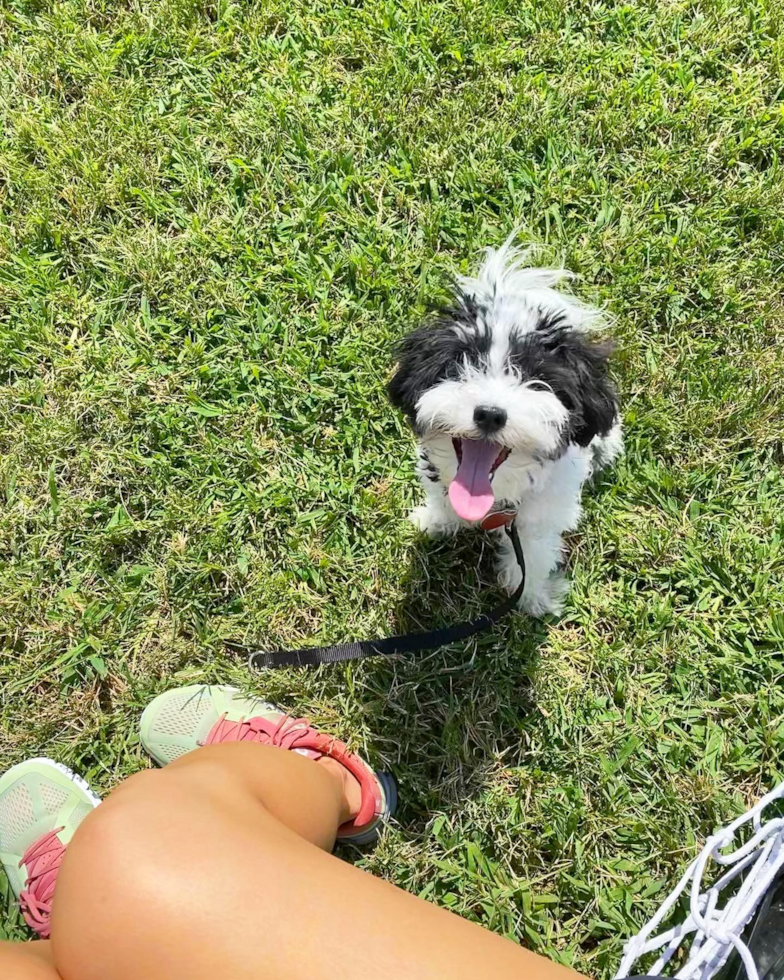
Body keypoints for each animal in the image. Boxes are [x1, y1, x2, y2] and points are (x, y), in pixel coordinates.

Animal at [388, 238, 620, 616]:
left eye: (536, 379)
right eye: (462, 364)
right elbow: (442, 501)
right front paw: (435, 520)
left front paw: (534, 596)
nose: (490, 414)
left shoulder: (540, 516)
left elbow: (534, 555)